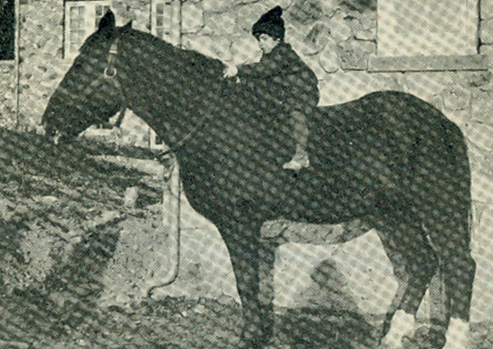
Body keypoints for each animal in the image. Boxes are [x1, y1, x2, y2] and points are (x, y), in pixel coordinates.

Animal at [43, 10, 476, 346]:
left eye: (82, 64)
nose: (49, 123)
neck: (215, 122)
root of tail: (443, 123)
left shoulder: (240, 222)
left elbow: (247, 282)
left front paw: (250, 336)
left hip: (438, 207)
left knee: (458, 264)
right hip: (393, 213)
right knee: (422, 263)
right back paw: (391, 336)